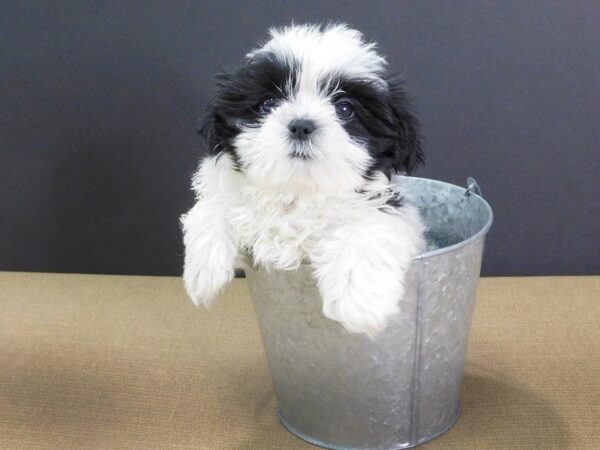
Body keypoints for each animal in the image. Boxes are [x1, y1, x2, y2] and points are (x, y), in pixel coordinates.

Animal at [180, 22, 424, 336]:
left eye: (345, 108)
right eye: (268, 103)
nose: (301, 125)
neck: (298, 192)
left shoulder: (384, 207)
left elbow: (366, 230)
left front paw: (359, 303)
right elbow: (213, 206)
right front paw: (203, 272)